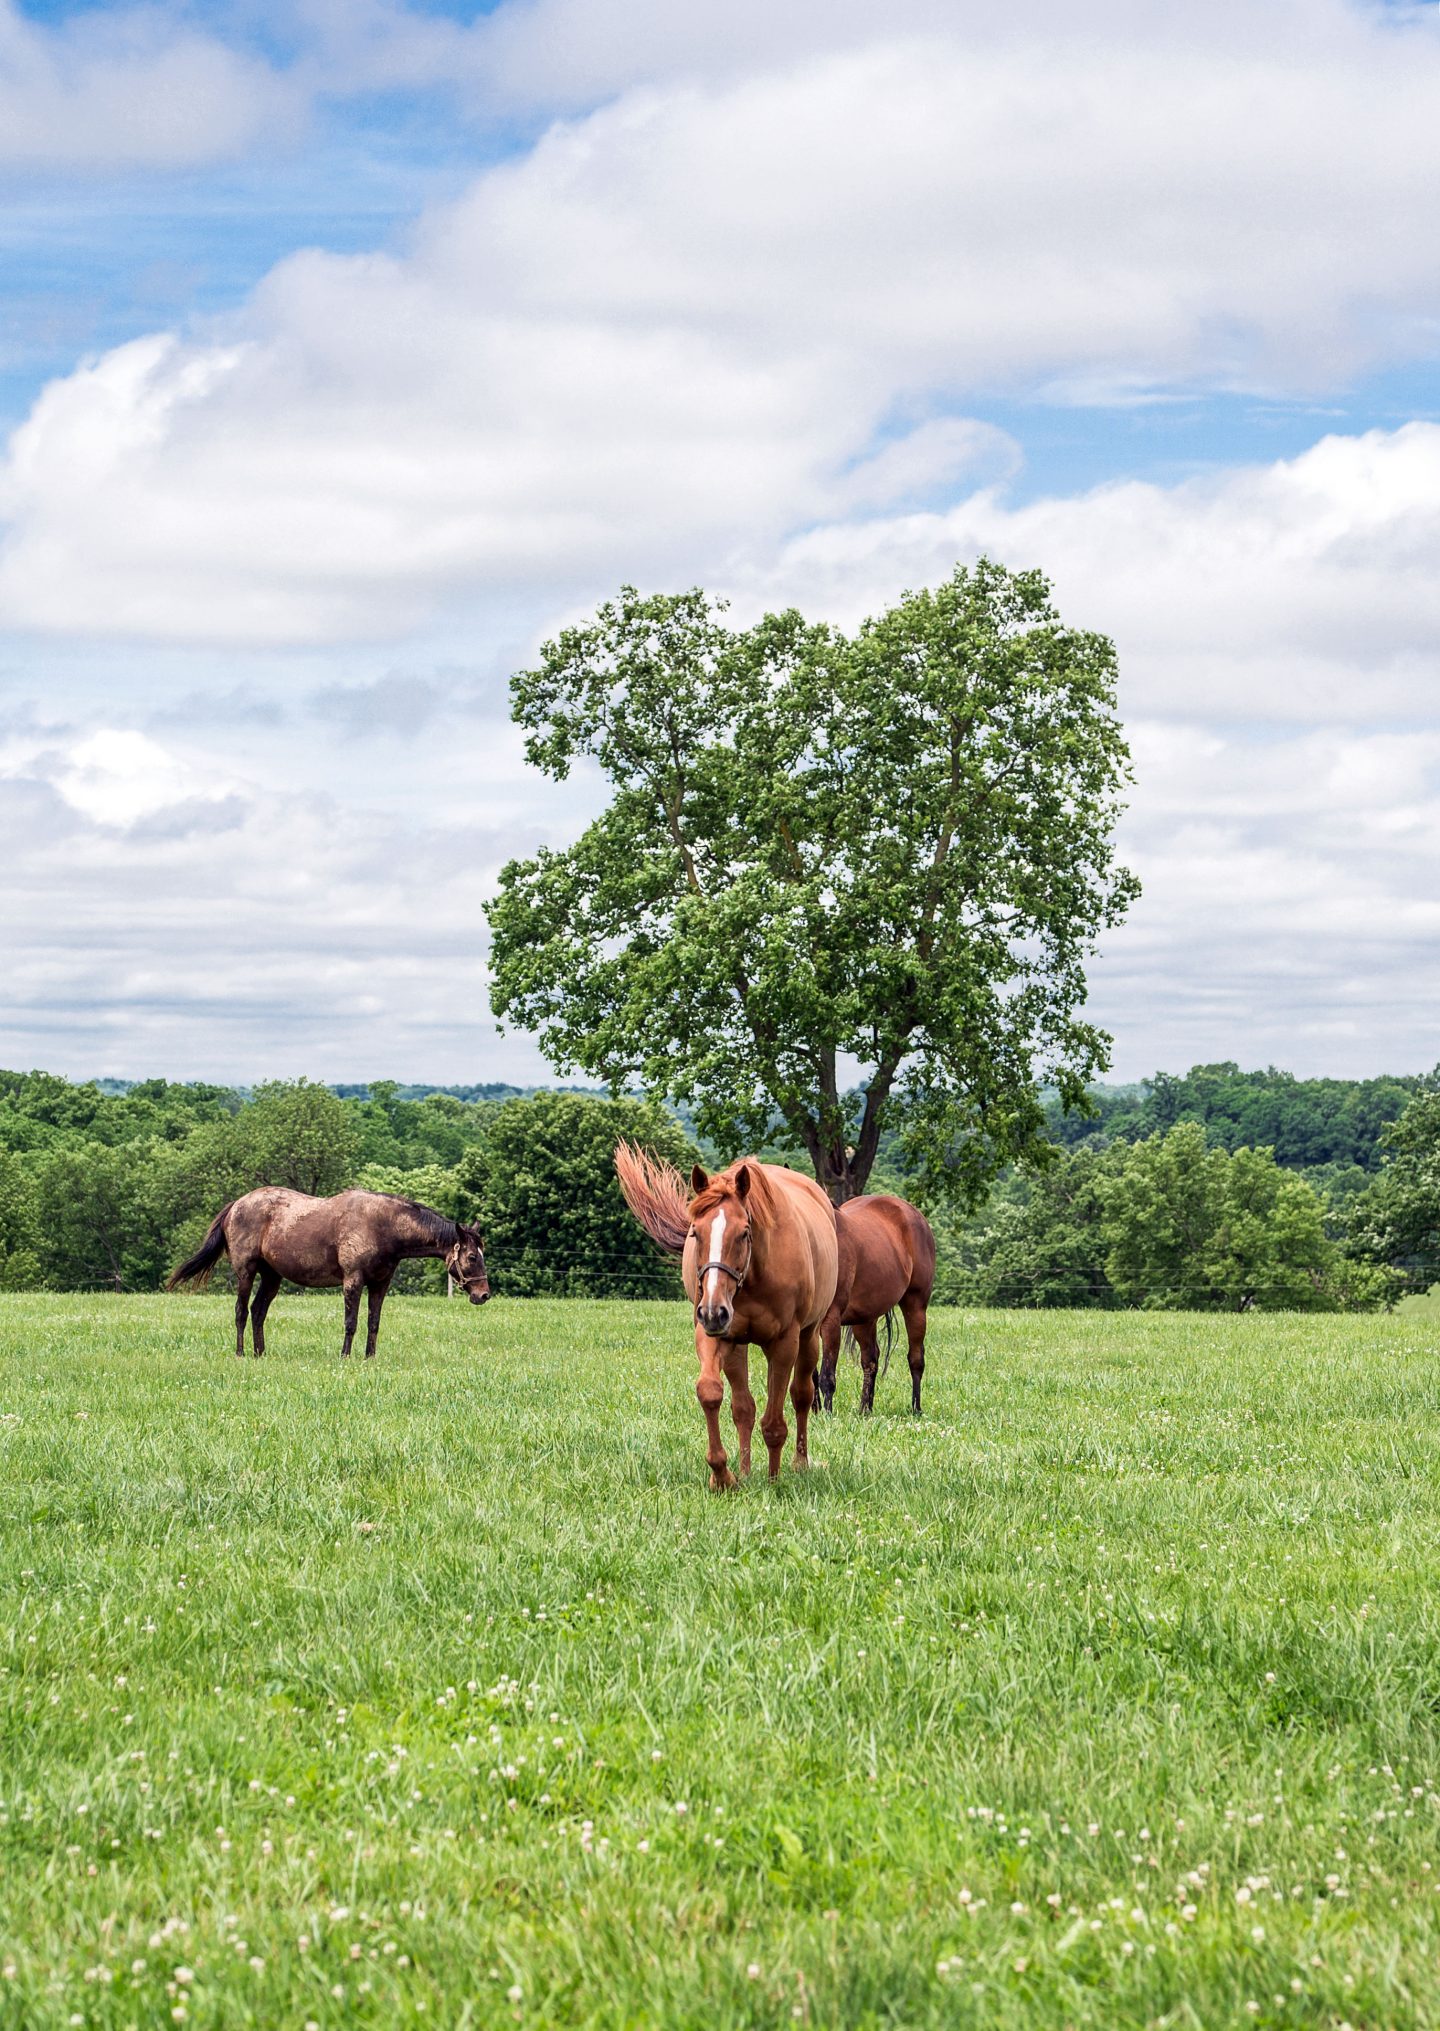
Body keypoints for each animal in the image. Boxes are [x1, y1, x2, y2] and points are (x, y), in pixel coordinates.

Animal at [168, 1186, 489, 1364]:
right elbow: (351, 1323)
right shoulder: (353, 1281)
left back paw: (261, 1354)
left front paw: (370, 1358)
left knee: (258, 1312)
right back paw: (241, 1353)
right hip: (246, 1273)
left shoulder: (380, 1284)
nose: (483, 1294)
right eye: (472, 1257)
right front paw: (345, 1356)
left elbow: (373, 1323)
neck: (383, 1226)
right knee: (241, 1312)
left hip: (272, 1277)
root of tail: (237, 1204)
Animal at [613, 1145, 836, 1494]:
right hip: (736, 1346)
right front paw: (722, 1475)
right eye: (695, 1232)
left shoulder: (783, 1343)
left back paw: (799, 1464)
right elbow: (711, 1393)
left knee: (801, 1396)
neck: (753, 1276)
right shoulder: (714, 1335)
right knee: (743, 1409)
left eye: (744, 1233)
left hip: (809, 1337)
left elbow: (775, 1421)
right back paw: (743, 1472)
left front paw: (773, 1481)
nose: (713, 1310)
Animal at [816, 1186, 938, 1413]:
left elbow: (826, 1375)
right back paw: (865, 1410)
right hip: (865, 1319)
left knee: (916, 1358)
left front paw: (826, 1415)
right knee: (871, 1360)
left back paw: (916, 1409)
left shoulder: (830, 1320)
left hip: (915, 1306)